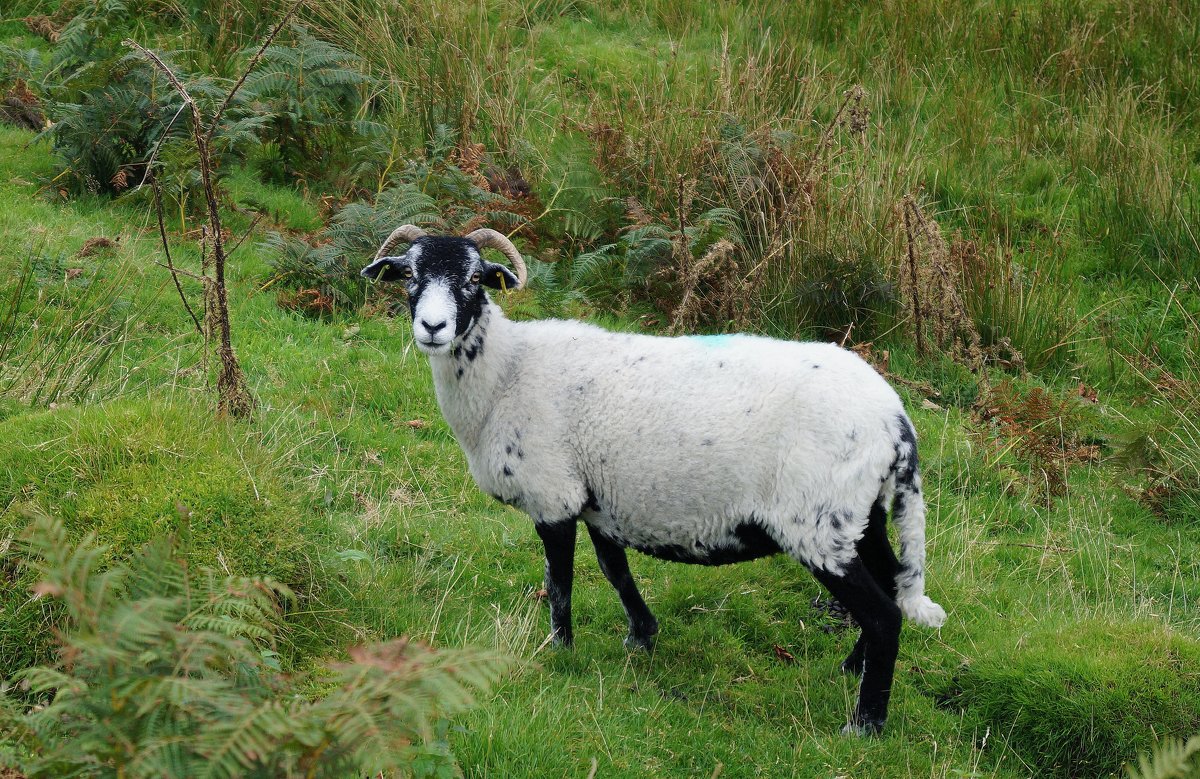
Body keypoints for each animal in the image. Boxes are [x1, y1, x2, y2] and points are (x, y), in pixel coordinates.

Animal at [357, 222, 945, 734]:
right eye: (409, 275)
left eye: (474, 279)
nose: (432, 328)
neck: (506, 372)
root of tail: (896, 419)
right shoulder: (599, 500)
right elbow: (613, 568)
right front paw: (641, 636)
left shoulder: (552, 495)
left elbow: (560, 582)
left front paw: (558, 650)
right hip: (859, 515)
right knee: (893, 586)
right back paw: (851, 669)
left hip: (817, 523)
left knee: (884, 615)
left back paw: (865, 724)